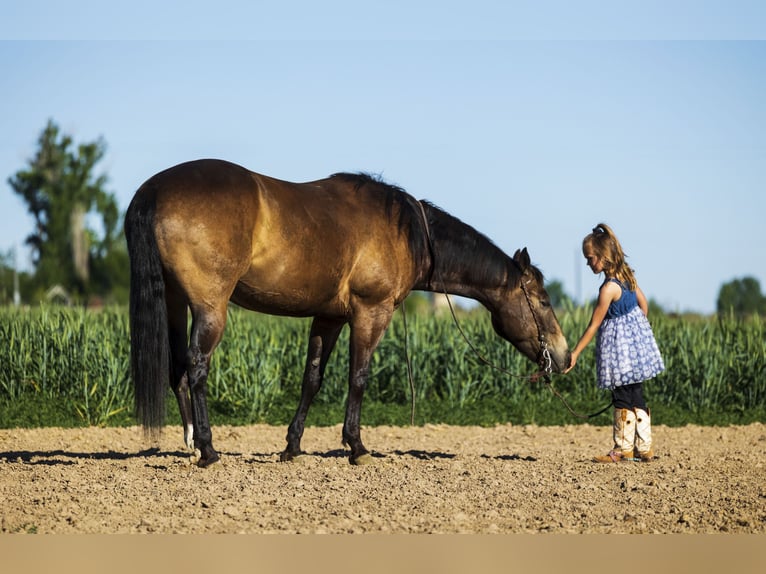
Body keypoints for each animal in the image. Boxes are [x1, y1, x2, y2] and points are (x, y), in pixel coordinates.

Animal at [124, 158, 568, 468]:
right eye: (544, 301)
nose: (564, 357)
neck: (408, 231)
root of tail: (154, 191)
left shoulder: (329, 318)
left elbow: (312, 379)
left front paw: (292, 447)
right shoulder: (371, 314)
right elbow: (359, 378)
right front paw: (357, 446)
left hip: (175, 302)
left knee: (178, 371)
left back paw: (190, 443)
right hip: (210, 308)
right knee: (197, 368)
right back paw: (208, 449)